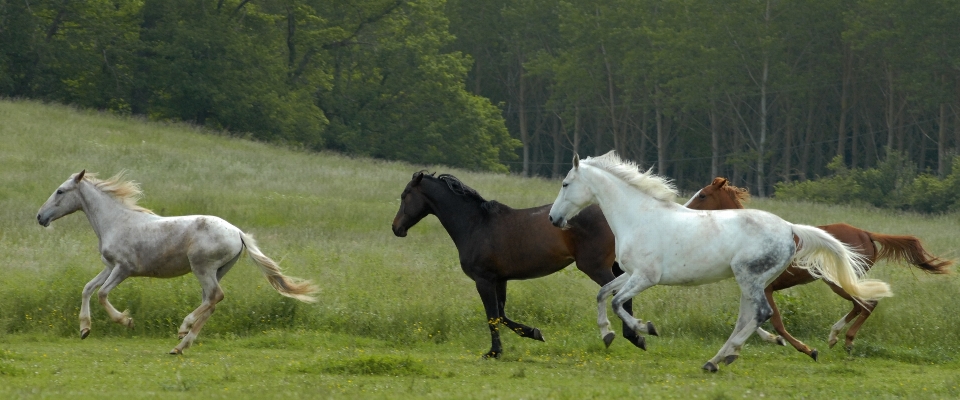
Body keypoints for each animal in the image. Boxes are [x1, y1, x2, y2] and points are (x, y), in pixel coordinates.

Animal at [36, 170, 318, 354]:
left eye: (60, 191)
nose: (40, 217)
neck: (116, 221)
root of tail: (238, 232)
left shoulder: (124, 269)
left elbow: (102, 294)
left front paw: (126, 321)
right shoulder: (109, 266)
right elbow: (87, 289)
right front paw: (84, 329)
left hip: (202, 267)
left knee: (215, 297)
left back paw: (183, 328)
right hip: (217, 270)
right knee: (211, 302)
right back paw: (181, 345)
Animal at [392, 170, 652, 358]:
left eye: (405, 195)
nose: (396, 228)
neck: (476, 225)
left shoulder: (483, 279)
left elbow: (492, 316)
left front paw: (494, 352)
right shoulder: (499, 279)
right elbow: (501, 315)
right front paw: (534, 333)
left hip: (595, 267)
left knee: (617, 294)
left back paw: (632, 336)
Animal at [548, 153, 892, 372]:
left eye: (565, 184)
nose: (553, 219)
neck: (639, 217)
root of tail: (790, 228)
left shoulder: (645, 277)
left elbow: (618, 302)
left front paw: (647, 329)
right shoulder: (631, 274)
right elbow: (602, 294)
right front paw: (607, 334)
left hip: (749, 278)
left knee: (761, 315)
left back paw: (722, 359)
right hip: (752, 282)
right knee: (749, 318)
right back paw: (720, 359)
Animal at [688, 178, 948, 360]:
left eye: (702, 195)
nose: (686, 210)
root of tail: (866, 233)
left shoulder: (766, 288)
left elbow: (775, 322)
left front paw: (805, 349)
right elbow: (754, 320)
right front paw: (770, 341)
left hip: (837, 281)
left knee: (867, 304)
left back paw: (846, 340)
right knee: (861, 305)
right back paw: (835, 337)